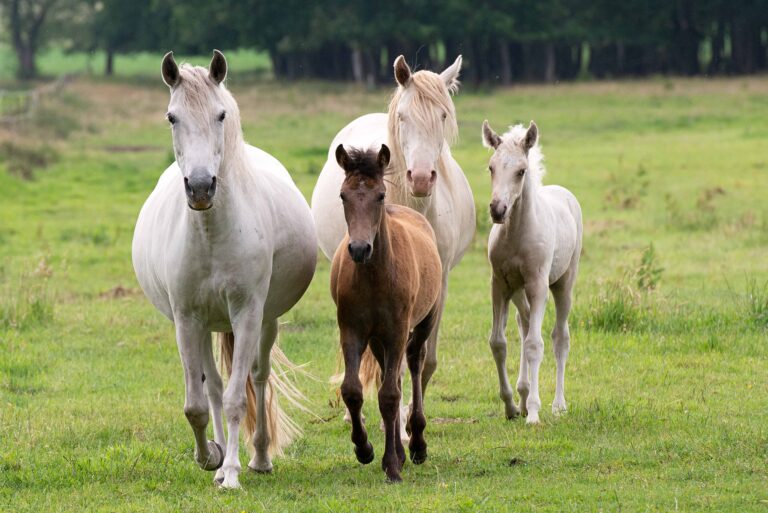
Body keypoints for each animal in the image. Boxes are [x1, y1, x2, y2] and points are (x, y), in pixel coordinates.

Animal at [130, 52, 316, 488]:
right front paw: (210, 457)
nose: (200, 187)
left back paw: (259, 457)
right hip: (205, 326)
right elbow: (198, 404)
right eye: (172, 117)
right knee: (213, 386)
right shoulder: (186, 318)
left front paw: (231, 472)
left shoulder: (247, 313)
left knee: (259, 378)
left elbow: (236, 399)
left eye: (221, 115)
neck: (213, 233)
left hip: (265, 321)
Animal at [308, 57, 476, 440]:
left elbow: (424, 360)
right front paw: (396, 428)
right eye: (403, 117)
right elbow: (388, 365)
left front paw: (412, 421)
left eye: (443, 116)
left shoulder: (437, 288)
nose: (422, 178)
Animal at [332, 143, 444, 480]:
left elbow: (390, 395)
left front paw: (393, 466)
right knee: (387, 376)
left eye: (380, 195)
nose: (359, 249)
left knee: (415, 363)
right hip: (376, 339)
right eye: (343, 195)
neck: (374, 275)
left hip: (422, 322)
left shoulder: (396, 331)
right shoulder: (352, 331)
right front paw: (365, 449)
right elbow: (353, 390)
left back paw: (416, 445)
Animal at [480, 120, 584, 424]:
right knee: (524, 323)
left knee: (560, 338)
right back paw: (523, 395)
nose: (497, 209)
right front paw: (511, 406)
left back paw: (557, 405)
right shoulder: (499, 285)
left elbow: (535, 345)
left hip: (563, 284)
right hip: (518, 292)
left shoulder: (538, 286)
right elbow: (498, 343)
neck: (517, 233)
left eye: (521, 171)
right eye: (491, 167)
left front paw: (534, 413)